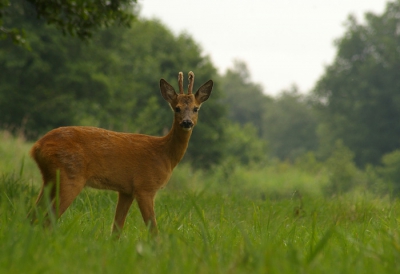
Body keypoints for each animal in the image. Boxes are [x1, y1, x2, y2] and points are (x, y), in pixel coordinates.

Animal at [28, 71, 212, 234]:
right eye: (177, 108)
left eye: (196, 108)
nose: (186, 122)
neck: (164, 155)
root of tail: (37, 147)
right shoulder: (145, 186)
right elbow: (153, 230)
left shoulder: (126, 190)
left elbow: (116, 229)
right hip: (70, 175)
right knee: (47, 219)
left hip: (50, 178)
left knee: (33, 215)